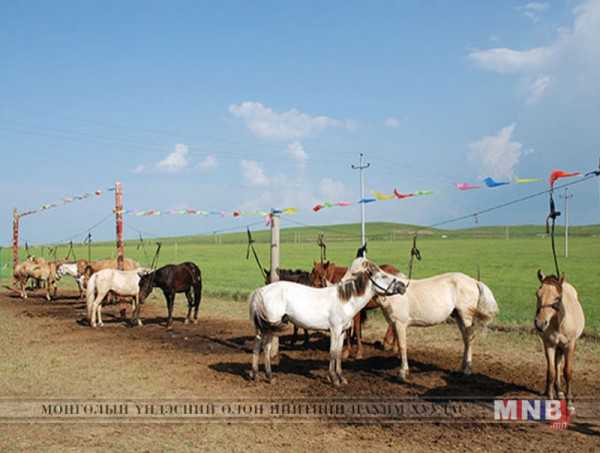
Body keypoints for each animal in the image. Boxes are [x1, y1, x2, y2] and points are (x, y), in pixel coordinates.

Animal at [246, 258, 406, 384]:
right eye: (383, 276)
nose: (403, 286)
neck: (344, 300)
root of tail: (261, 290)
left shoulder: (342, 332)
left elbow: (339, 353)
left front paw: (341, 377)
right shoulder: (335, 330)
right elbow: (333, 352)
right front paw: (333, 378)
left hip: (264, 327)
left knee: (257, 345)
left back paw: (256, 375)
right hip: (270, 326)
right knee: (265, 348)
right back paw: (269, 376)